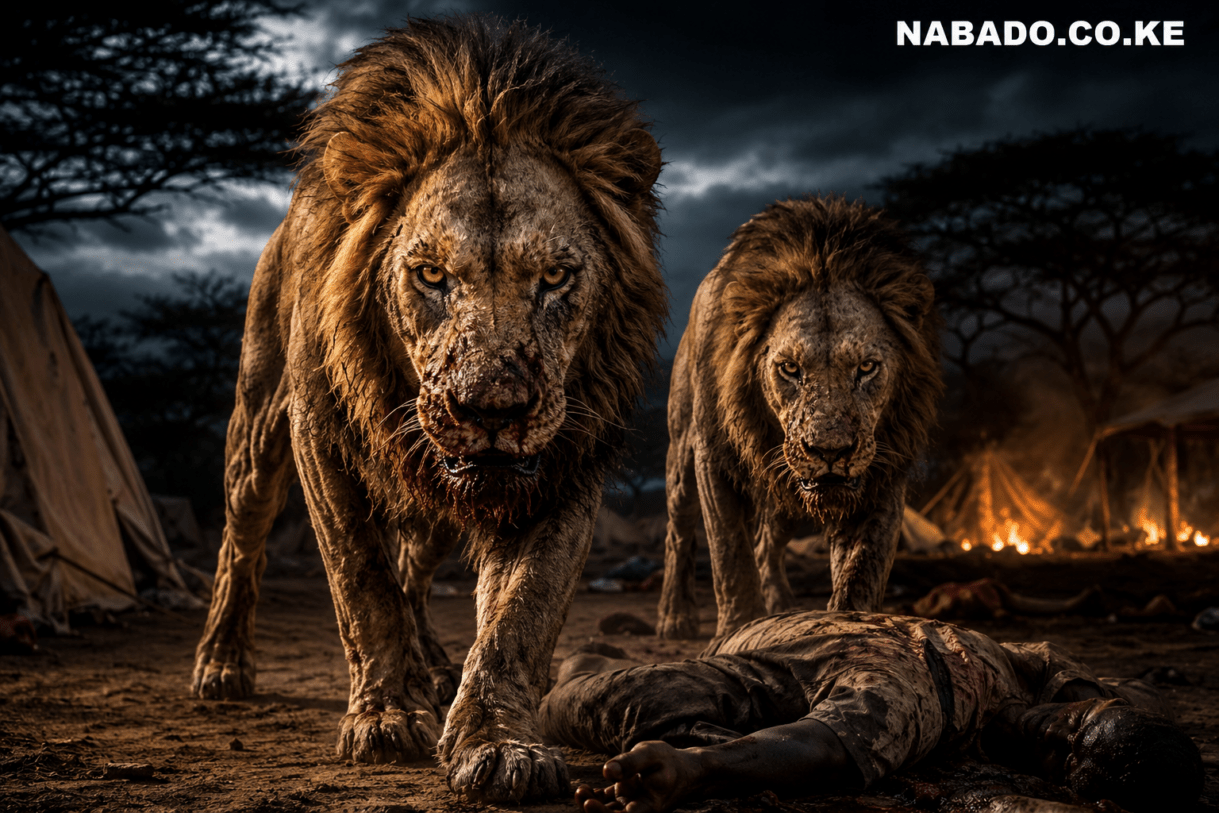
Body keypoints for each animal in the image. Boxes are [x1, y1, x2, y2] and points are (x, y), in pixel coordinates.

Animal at [190, 17, 665, 803]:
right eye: (432, 275)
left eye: (555, 277)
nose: (492, 409)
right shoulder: (320, 437)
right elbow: (362, 582)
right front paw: (383, 718)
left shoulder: (566, 462)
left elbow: (519, 613)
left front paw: (496, 742)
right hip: (257, 433)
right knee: (241, 542)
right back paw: (223, 663)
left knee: (416, 567)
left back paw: (435, 668)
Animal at [656, 196, 941, 641]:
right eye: (790, 368)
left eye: (866, 367)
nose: (830, 451)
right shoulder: (712, 459)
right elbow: (729, 553)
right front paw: (736, 630)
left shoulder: (885, 470)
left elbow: (863, 567)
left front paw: (851, 630)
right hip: (683, 458)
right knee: (679, 532)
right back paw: (676, 616)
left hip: (785, 496)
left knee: (766, 545)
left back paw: (781, 606)